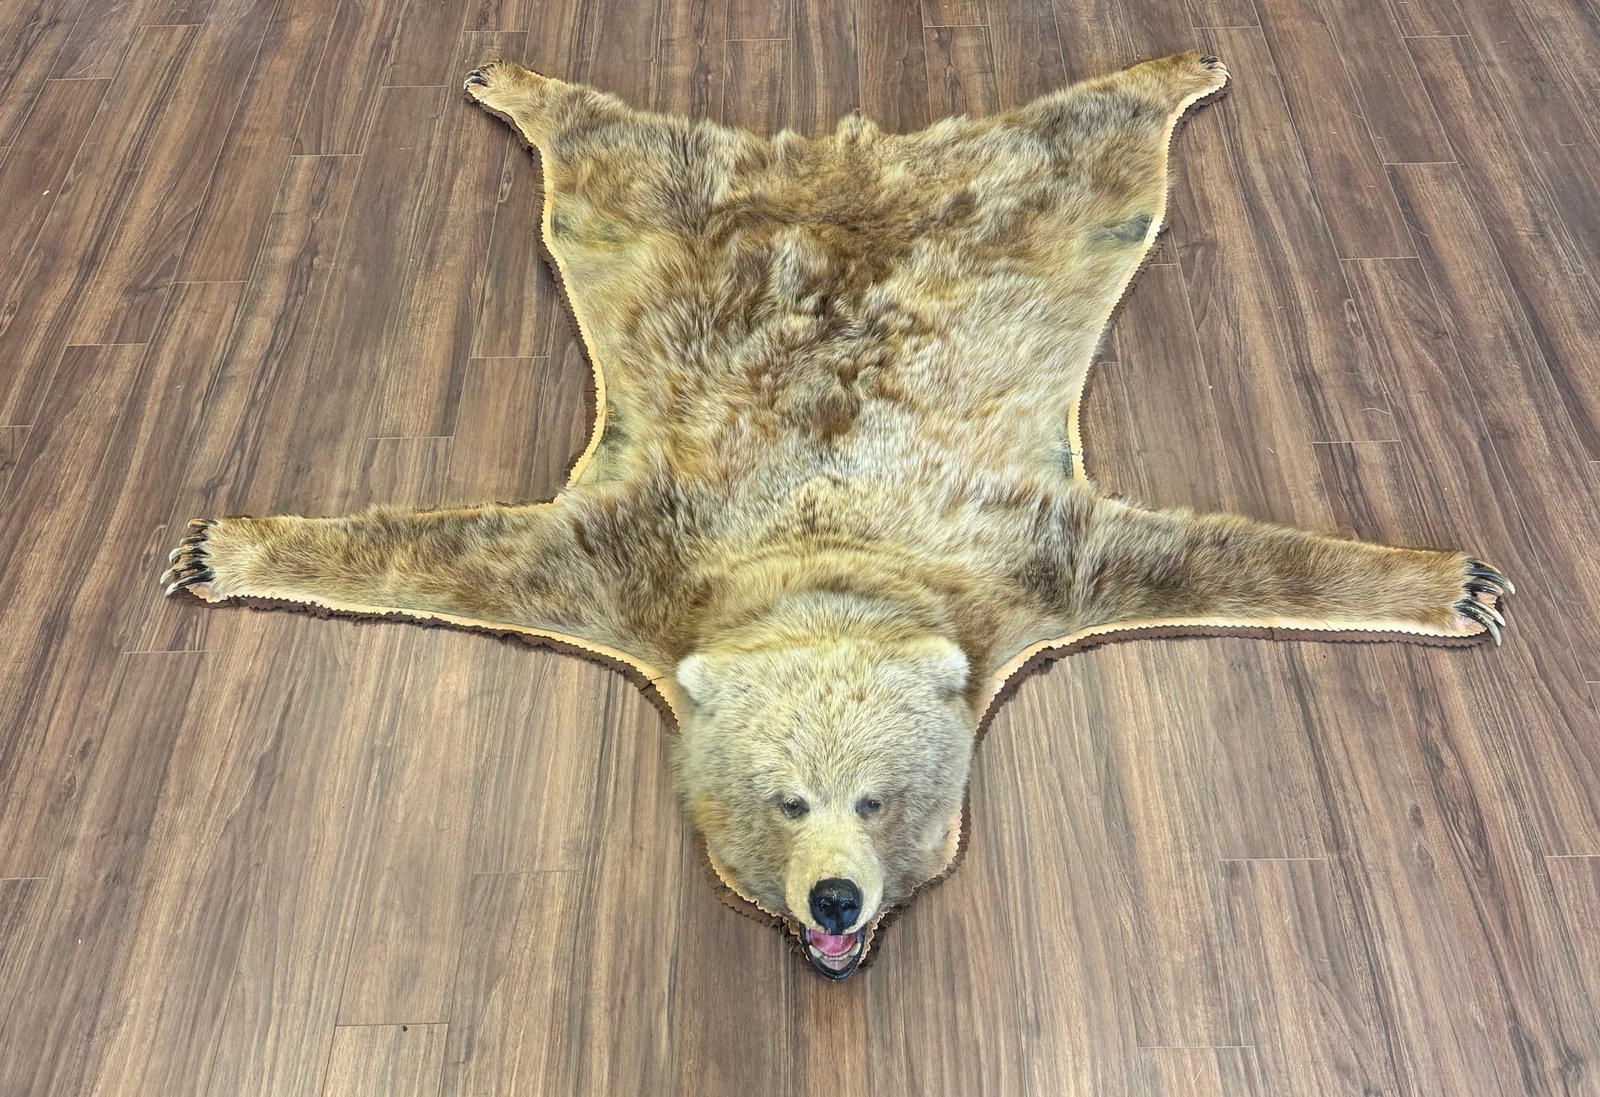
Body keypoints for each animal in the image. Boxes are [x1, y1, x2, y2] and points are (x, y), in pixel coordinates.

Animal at [161, 51, 1510, 980]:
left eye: (878, 798)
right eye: (785, 800)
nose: (835, 903)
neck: (825, 571)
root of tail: (843, 159)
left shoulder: (1031, 560)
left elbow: (1217, 555)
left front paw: (1456, 581)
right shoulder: (624, 561)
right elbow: (446, 552)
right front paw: (222, 544)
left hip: (1034, 210)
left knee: (1091, 143)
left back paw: (1176, 68)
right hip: (649, 222)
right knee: (611, 154)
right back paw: (518, 81)